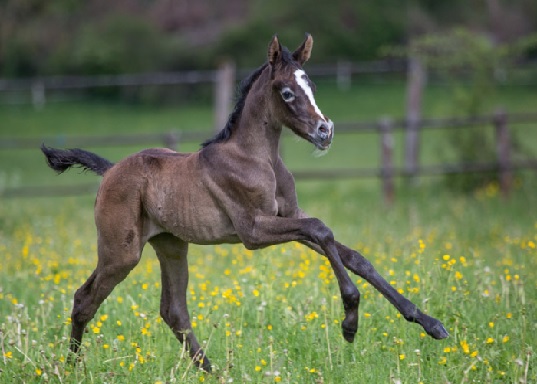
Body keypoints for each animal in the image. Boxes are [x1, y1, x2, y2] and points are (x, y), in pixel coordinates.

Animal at [42, 33, 446, 372]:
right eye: (286, 92)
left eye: (311, 85)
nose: (325, 131)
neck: (257, 158)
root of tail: (110, 170)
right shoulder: (254, 231)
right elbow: (321, 229)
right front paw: (349, 322)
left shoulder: (289, 216)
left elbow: (351, 254)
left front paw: (430, 323)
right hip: (121, 251)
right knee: (84, 298)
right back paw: (71, 367)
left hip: (171, 245)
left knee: (174, 311)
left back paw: (214, 371)